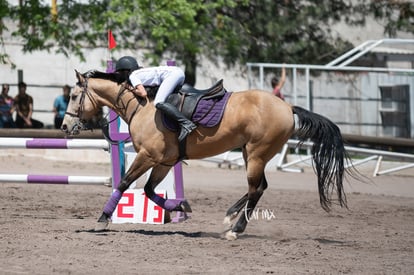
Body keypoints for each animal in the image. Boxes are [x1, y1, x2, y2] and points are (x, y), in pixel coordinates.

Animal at [62, 70, 350, 242]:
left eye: (74, 96)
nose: (65, 127)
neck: (140, 105)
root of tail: (287, 107)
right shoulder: (164, 161)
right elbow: (149, 190)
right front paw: (180, 206)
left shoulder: (147, 156)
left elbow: (123, 184)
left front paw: (102, 220)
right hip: (250, 153)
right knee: (260, 187)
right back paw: (230, 216)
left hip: (257, 154)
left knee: (256, 189)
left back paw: (235, 230)